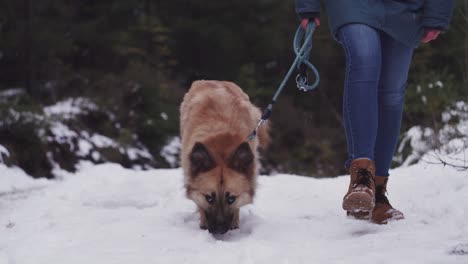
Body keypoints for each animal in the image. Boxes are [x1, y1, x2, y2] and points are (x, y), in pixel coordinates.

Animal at [180, 81, 270, 235]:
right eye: (209, 198)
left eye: (231, 199)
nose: (219, 230)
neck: (221, 147)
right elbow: (200, 204)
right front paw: (203, 224)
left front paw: (235, 224)